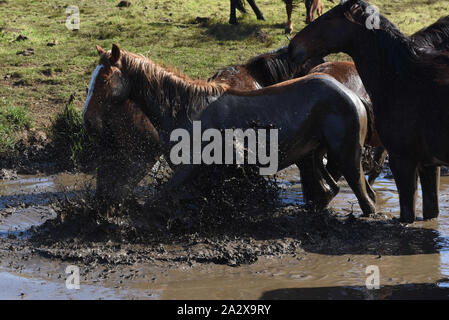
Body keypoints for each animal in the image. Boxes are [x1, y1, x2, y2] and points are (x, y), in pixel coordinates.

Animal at [83, 44, 374, 215]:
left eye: (105, 79)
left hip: (347, 158)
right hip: (312, 157)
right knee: (329, 192)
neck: (187, 110)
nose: (87, 120)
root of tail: (354, 96)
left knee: (366, 199)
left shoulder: (190, 170)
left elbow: (159, 199)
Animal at [288, 0, 448, 222]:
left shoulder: (403, 160)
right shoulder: (428, 164)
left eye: (329, 17)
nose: (292, 47)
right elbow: (431, 212)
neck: (403, 79)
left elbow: (407, 214)